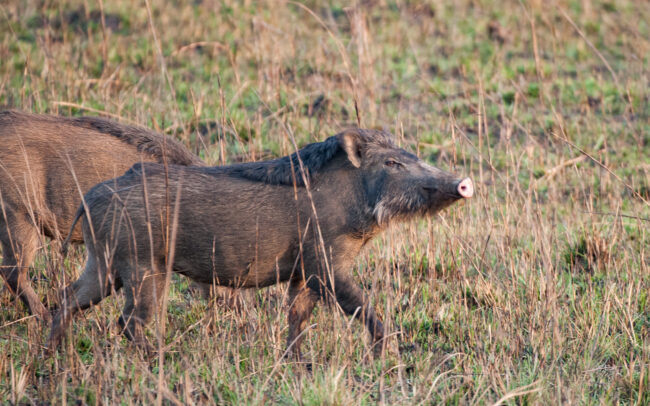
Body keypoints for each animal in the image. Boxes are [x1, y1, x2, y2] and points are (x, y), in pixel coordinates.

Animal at [47, 129, 473, 358]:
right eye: (391, 163)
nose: (464, 182)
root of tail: (93, 196)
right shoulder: (327, 267)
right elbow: (364, 310)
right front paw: (389, 356)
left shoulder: (303, 273)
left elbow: (297, 319)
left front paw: (297, 365)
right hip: (142, 268)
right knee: (129, 322)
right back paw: (157, 360)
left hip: (103, 265)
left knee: (67, 299)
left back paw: (52, 356)